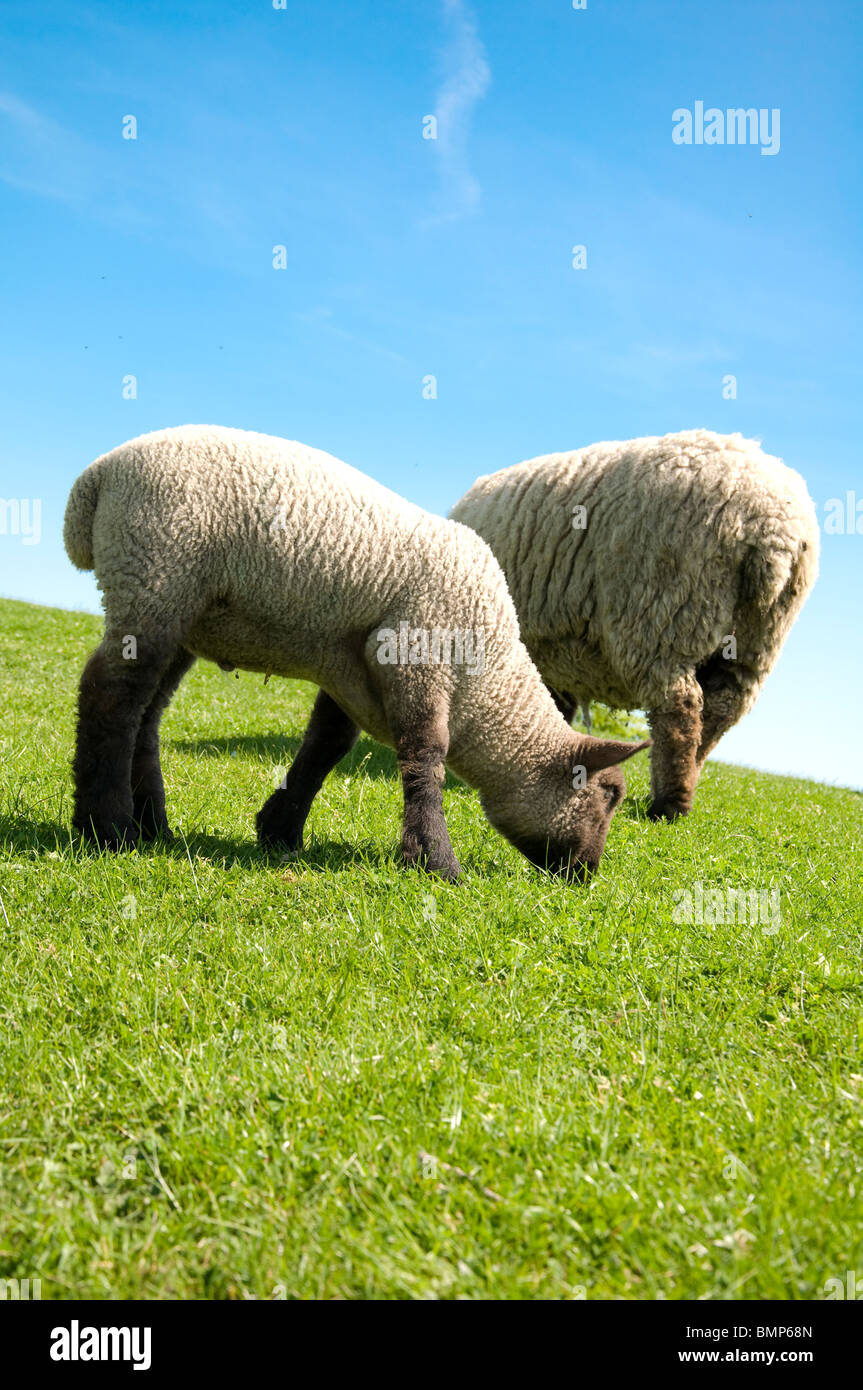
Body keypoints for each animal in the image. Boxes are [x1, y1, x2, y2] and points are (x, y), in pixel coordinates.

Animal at [62, 422, 644, 878]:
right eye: (608, 795)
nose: (587, 874)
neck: (483, 682)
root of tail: (97, 478)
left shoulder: (352, 670)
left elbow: (326, 747)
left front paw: (280, 830)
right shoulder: (415, 652)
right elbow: (425, 754)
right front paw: (435, 861)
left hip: (178, 607)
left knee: (145, 714)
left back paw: (152, 825)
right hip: (156, 573)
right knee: (110, 696)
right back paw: (106, 827)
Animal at [447, 428, 817, 817]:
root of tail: (773, 527)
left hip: (664, 616)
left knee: (679, 711)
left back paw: (669, 805)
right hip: (754, 644)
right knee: (718, 713)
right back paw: (684, 786)